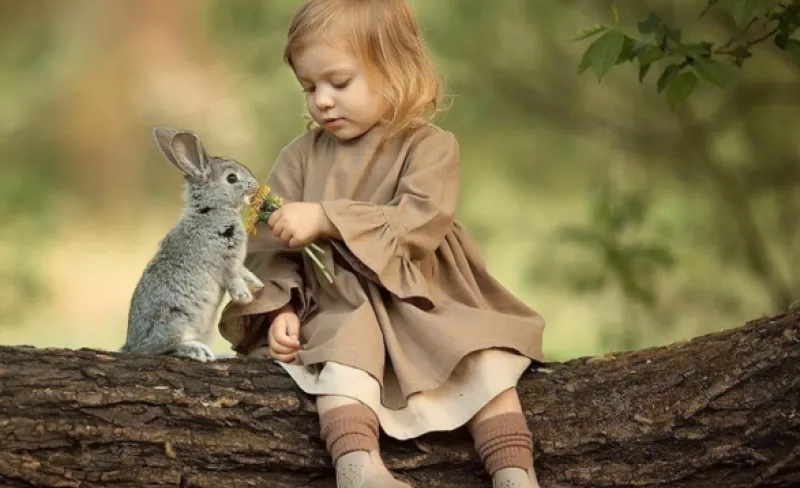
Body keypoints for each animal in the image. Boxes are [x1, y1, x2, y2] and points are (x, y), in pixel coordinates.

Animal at [120, 126, 264, 362]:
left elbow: (245, 272)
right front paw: (245, 297)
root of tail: (133, 346)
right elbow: (234, 279)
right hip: (177, 321)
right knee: (164, 349)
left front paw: (258, 285)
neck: (212, 209)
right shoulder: (225, 261)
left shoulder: (237, 262)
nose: (255, 185)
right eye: (231, 178)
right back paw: (198, 351)